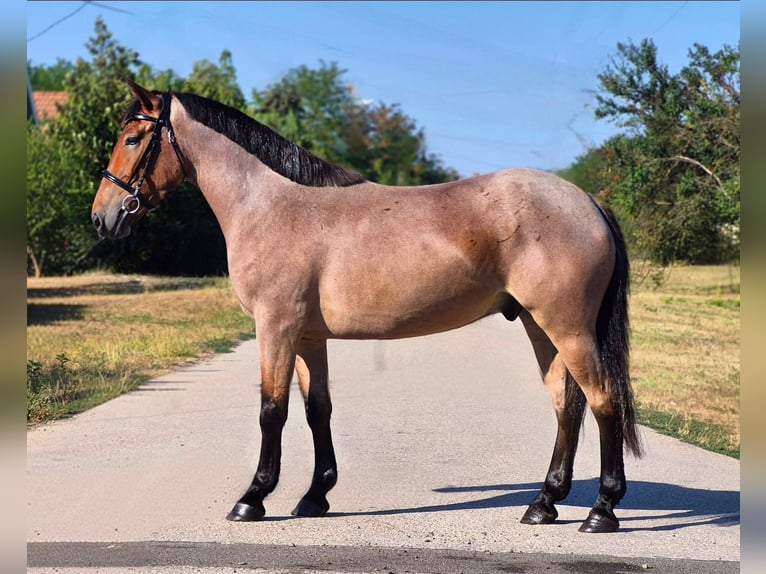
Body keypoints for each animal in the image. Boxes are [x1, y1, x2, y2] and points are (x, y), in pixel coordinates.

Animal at [91, 81, 642, 533]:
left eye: (134, 140)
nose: (102, 217)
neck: (269, 204)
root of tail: (588, 202)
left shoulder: (275, 327)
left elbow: (272, 411)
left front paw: (253, 498)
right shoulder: (308, 336)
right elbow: (317, 410)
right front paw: (314, 497)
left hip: (567, 327)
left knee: (602, 401)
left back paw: (601, 511)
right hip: (539, 326)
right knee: (565, 405)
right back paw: (543, 503)